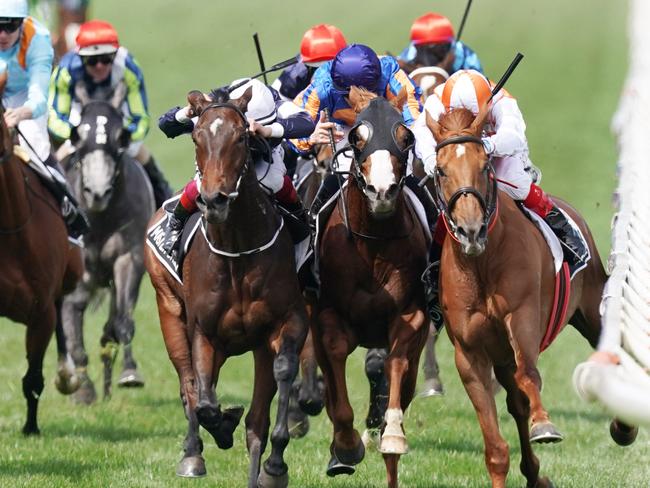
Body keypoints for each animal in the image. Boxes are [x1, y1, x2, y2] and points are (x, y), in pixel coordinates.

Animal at [59, 85, 156, 404]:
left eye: (121, 136)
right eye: (77, 135)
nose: (97, 192)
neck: (100, 218)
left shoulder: (129, 258)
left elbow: (122, 322)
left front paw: (129, 372)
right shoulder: (77, 271)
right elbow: (72, 326)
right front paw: (83, 390)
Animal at [143, 87, 306, 488]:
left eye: (241, 138)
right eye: (198, 138)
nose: (214, 199)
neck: (237, 250)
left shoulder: (284, 325)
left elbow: (270, 398)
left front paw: (273, 467)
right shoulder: (203, 332)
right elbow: (204, 402)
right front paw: (219, 427)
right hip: (169, 311)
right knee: (189, 385)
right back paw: (192, 453)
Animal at [312, 87, 428, 488]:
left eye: (406, 137)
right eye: (356, 138)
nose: (382, 191)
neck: (373, 246)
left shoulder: (412, 312)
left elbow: (394, 363)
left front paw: (390, 432)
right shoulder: (327, 314)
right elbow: (335, 359)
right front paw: (345, 448)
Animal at [426, 107, 604, 488]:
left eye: (484, 166)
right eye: (441, 170)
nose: (471, 229)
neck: (481, 263)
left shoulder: (521, 319)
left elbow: (529, 375)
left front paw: (545, 425)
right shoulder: (471, 353)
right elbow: (495, 447)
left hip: (592, 311)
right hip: (500, 354)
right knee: (516, 404)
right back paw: (535, 474)